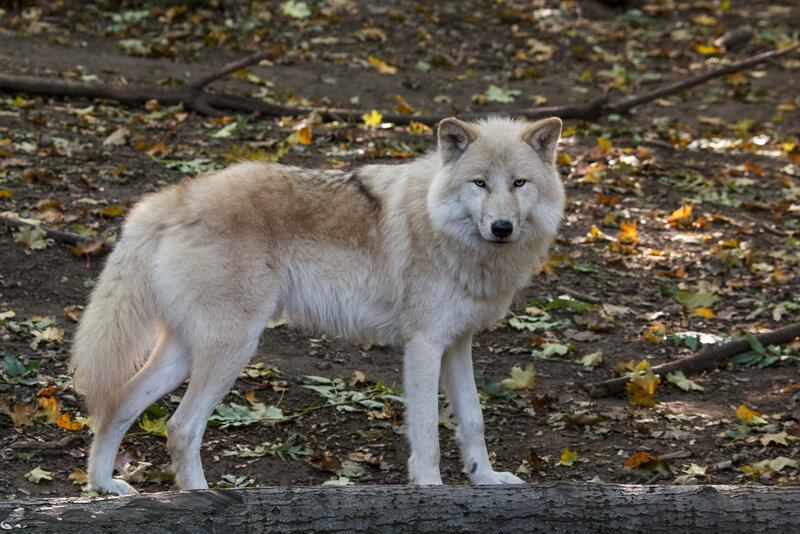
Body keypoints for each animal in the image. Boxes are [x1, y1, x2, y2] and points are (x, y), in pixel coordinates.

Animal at [70, 116, 565, 494]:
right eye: (479, 183)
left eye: (518, 183)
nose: (502, 227)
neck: (447, 230)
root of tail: (171, 197)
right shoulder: (423, 344)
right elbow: (427, 433)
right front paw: (429, 488)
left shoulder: (457, 344)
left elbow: (474, 421)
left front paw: (488, 481)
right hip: (232, 348)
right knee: (181, 427)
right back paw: (200, 495)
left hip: (187, 353)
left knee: (117, 405)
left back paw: (104, 487)